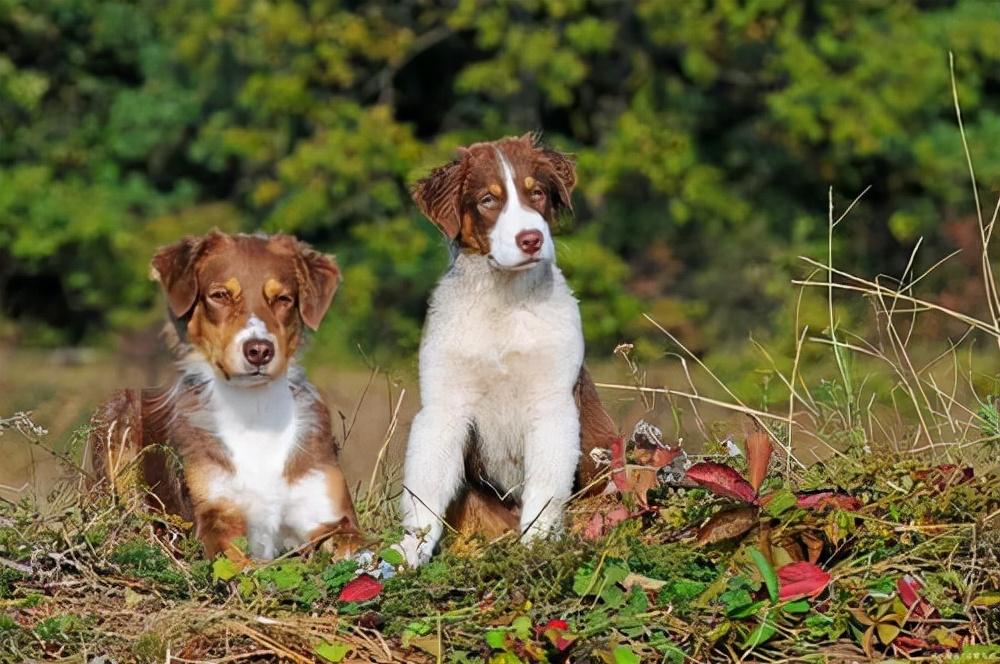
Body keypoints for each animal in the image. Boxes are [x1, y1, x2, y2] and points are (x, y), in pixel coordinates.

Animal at [86, 232, 360, 560]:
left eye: (283, 299)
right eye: (219, 295)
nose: (259, 351)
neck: (254, 412)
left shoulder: (329, 513)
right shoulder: (216, 514)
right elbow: (238, 561)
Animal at [396, 135, 616, 564]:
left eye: (537, 193)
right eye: (487, 200)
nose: (531, 239)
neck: (504, 301)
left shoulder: (552, 402)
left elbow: (546, 486)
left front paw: (537, 546)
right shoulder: (444, 406)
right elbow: (425, 489)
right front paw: (407, 552)